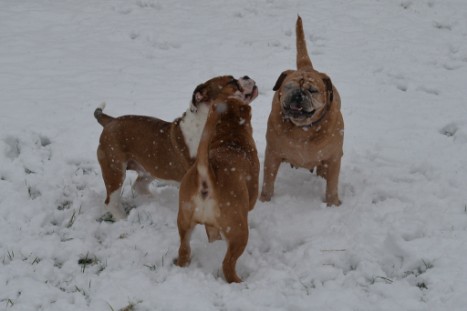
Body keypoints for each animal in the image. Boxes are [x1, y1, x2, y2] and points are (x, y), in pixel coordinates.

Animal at [93, 76, 258, 221]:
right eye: (232, 81)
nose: (246, 76)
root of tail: (111, 121)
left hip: (151, 167)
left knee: (139, 185)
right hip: (114, 169)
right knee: (111, 201)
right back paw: (123, 219)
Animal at [176, 80, 260, 282]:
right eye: (236, 87)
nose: (241, 80)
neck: (230, 133)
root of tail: (207, 176)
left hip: (184, 221)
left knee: (184, 250)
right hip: (239, 231)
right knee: (227, 264)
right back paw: (239, 282)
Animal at [262, 16, 346, 207]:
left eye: (312, 90)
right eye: (289, 86)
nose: (298, 94)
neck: (303, 129)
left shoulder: (334, 157)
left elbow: (332, 184)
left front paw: (332, 204)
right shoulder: (272, 154)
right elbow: (268, 181)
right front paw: (264, 201)